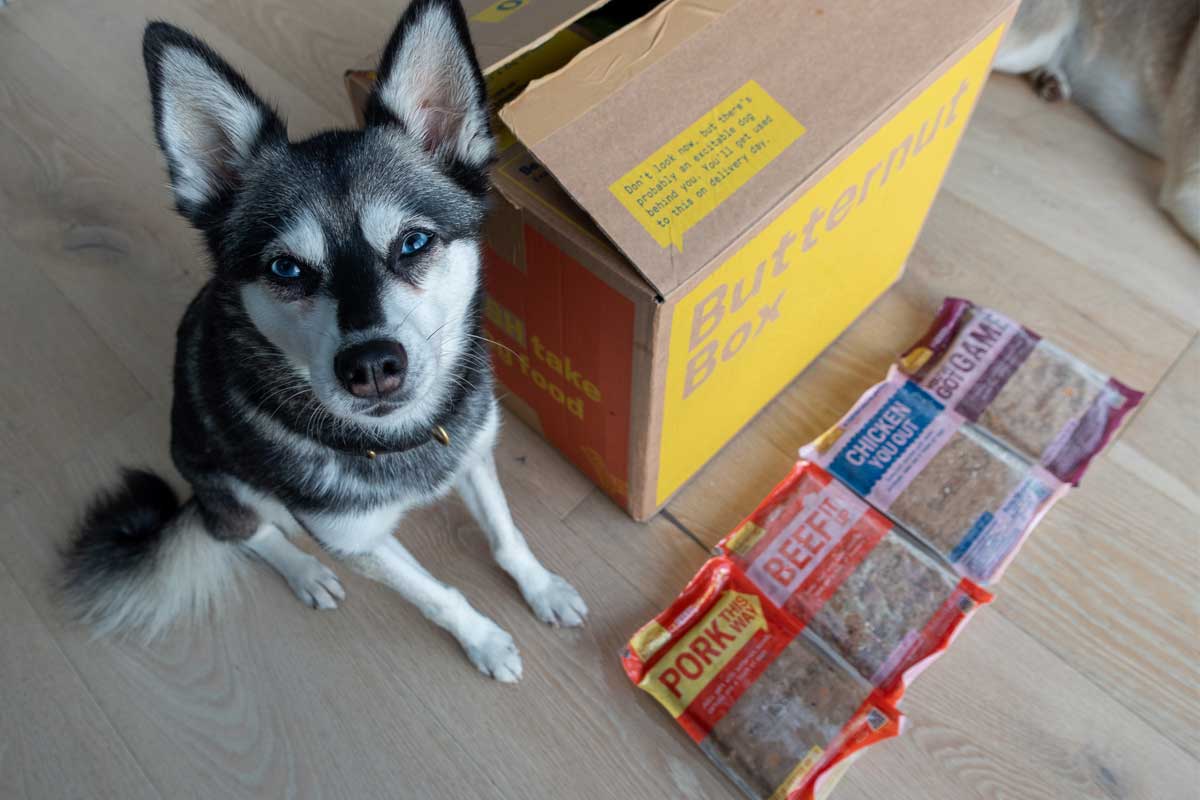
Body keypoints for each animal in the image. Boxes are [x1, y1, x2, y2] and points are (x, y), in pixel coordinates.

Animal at [57, 0, 590, 681]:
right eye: (286, 269)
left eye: (414, 242)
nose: (372, 366)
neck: (397, 440)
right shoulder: (357, 540)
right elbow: (439, 597)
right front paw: (485, 640)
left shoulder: (473, 455)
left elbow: (506, 535)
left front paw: (541, 587)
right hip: (224, 479)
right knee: (249, 533)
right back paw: (305, 573)